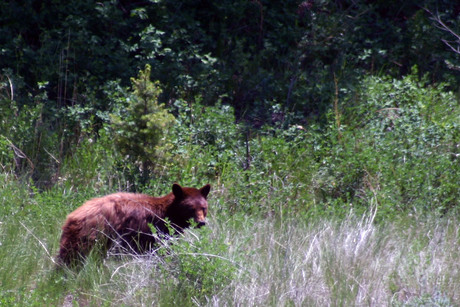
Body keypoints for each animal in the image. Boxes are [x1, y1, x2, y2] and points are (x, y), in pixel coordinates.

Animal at [56, 184, 212, 266]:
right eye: (190, 208)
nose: (201, 222)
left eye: (204, 207)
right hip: (93, 236)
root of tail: (73, 216)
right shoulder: (154, 232)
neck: (168, 213)